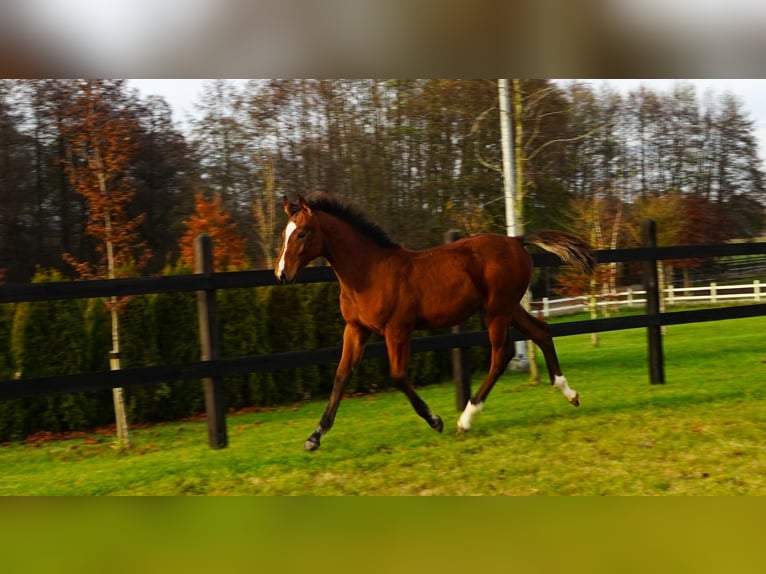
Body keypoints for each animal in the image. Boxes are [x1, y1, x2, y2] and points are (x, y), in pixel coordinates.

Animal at [275, 192, 595, 451]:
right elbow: (341, 376)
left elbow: (398, 376)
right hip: (510, 308)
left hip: (496, 312)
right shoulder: (356, 329)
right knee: (541, 331)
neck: (369, 273)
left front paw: (436, 420)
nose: (281, 274)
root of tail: (516, 240)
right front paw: (314, 437)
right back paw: (569, 393)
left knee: (501, 354)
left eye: (302, 233)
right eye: (284, 234)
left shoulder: (397, 329)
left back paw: (465, 419)